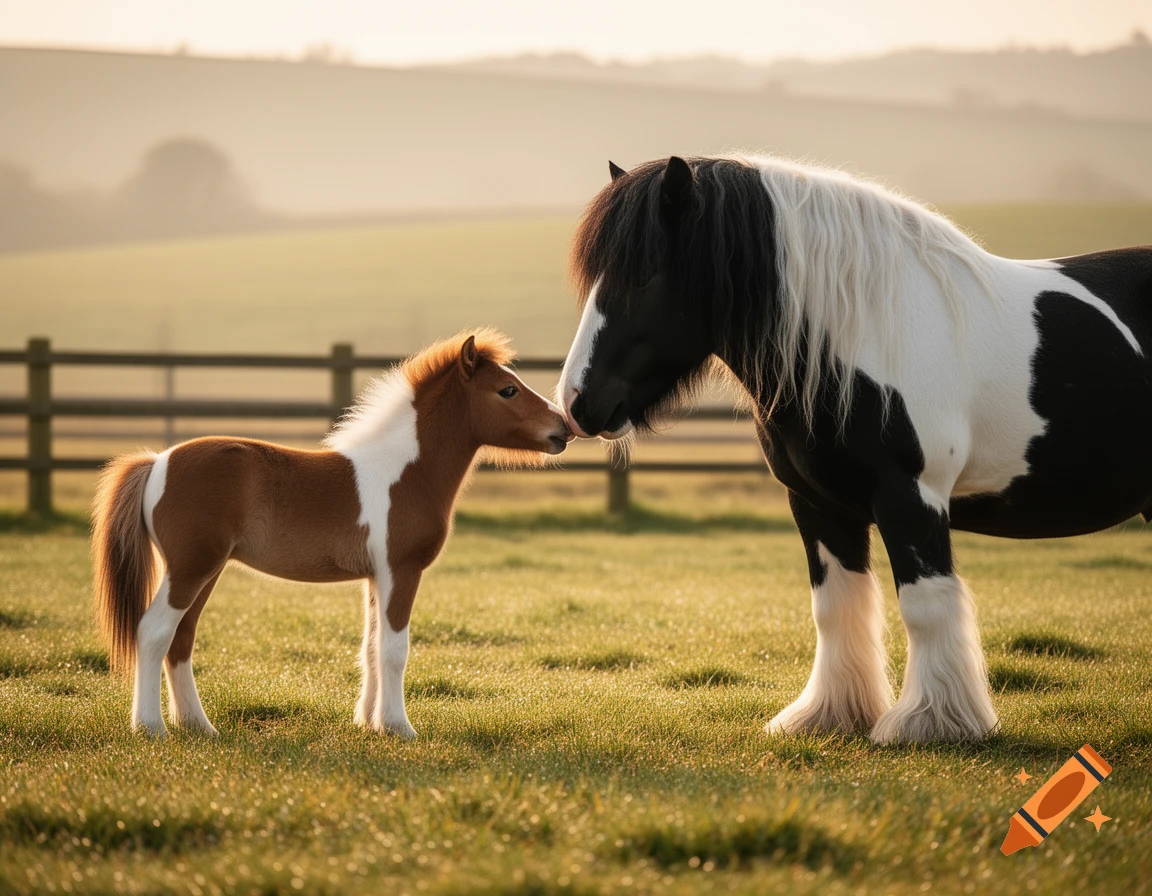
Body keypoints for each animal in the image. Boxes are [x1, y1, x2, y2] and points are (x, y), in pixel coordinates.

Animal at [92, 330, 572, 738]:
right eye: (507, 390)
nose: (563, 429)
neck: (406, 471)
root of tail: (157, 461)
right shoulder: (401, 569)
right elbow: (394, 649)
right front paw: (399, 728)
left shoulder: (377, 576)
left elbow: (371, 647)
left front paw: (369, 722)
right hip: (190, 568)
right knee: (154, 631)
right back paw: (150, 727)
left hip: (203, 571)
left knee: (181, 639)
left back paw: (198, 726)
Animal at [557, 154, 1152, 744]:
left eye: (643, 277)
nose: (577, 402)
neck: (866, 335)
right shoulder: (818, 504)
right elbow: (835, 606)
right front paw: (831, 714)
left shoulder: (912, 497)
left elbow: (924, 604)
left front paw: (932, 723)